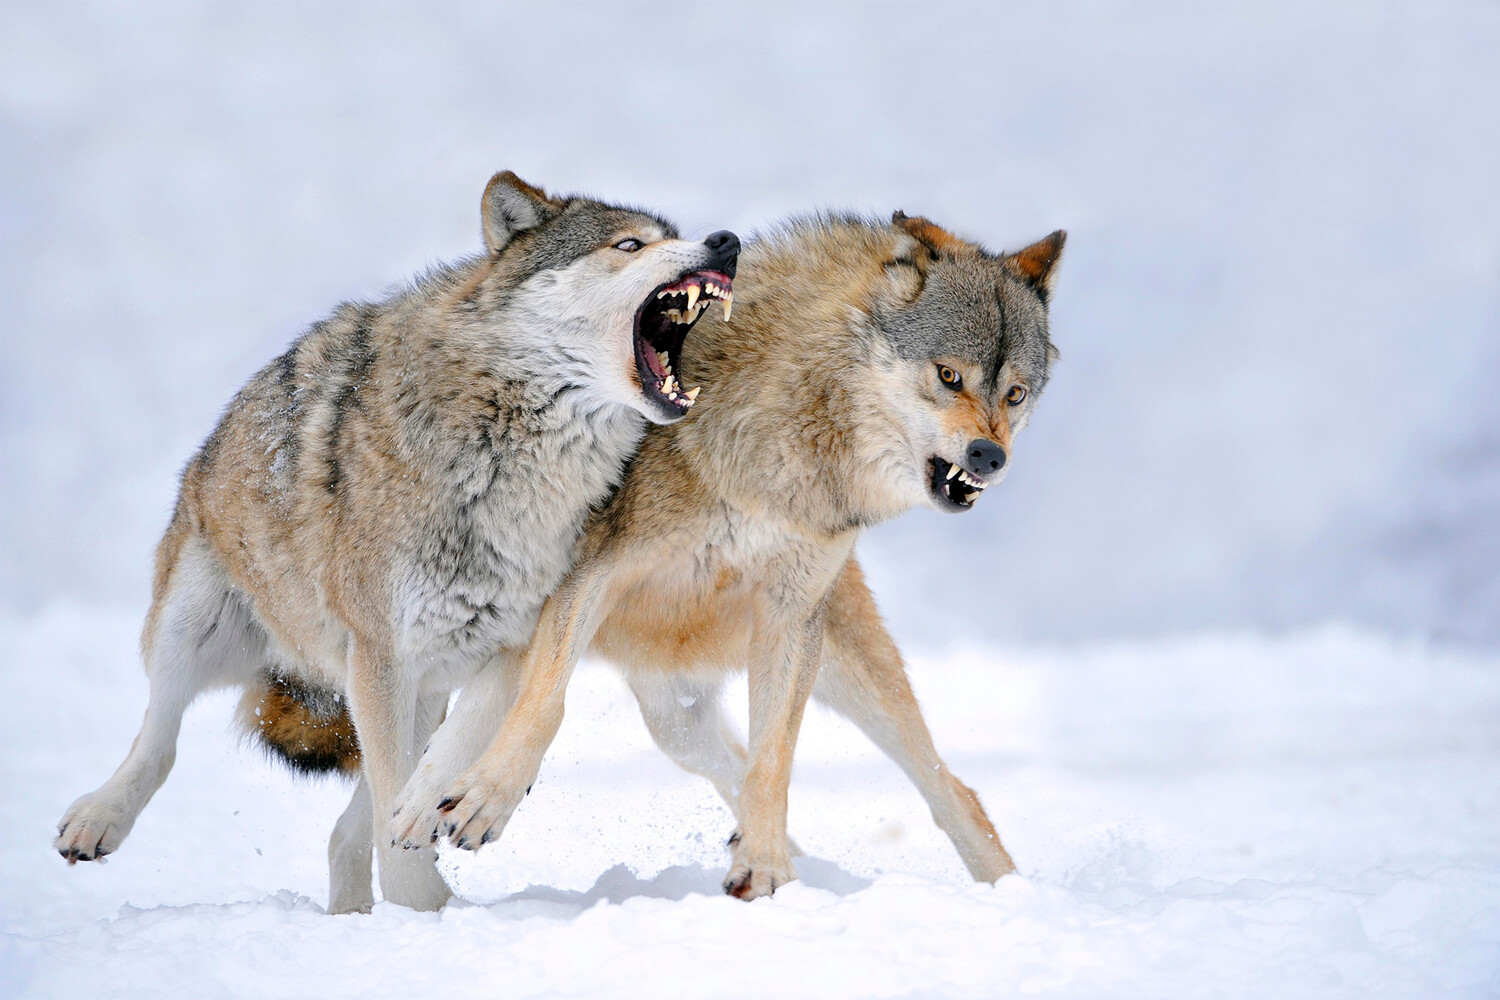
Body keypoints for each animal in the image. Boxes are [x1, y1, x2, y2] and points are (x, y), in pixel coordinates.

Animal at [55, 173, 741, 917]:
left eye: (674, 235)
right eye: (629, 245)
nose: (727, 241)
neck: (508, 459)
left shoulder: (515, 641)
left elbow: (449, 754)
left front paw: (434, 830)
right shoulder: (382, 650)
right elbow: (394, 808)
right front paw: (424, 910)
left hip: (410, 690)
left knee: (344, 826)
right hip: (199, 625)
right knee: (161, 733)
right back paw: (98, 818)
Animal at [387, 211, 1068, 899]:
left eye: (1015, 394)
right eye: (949, 375)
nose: (990, 456)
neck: (787, 446)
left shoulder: (790, 619)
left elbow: (772, 763)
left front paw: (764, 869)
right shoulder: (591, 573)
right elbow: (545, 702)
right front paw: (486, 799)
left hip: (822, 678)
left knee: (949, 788)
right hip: (679, 716)